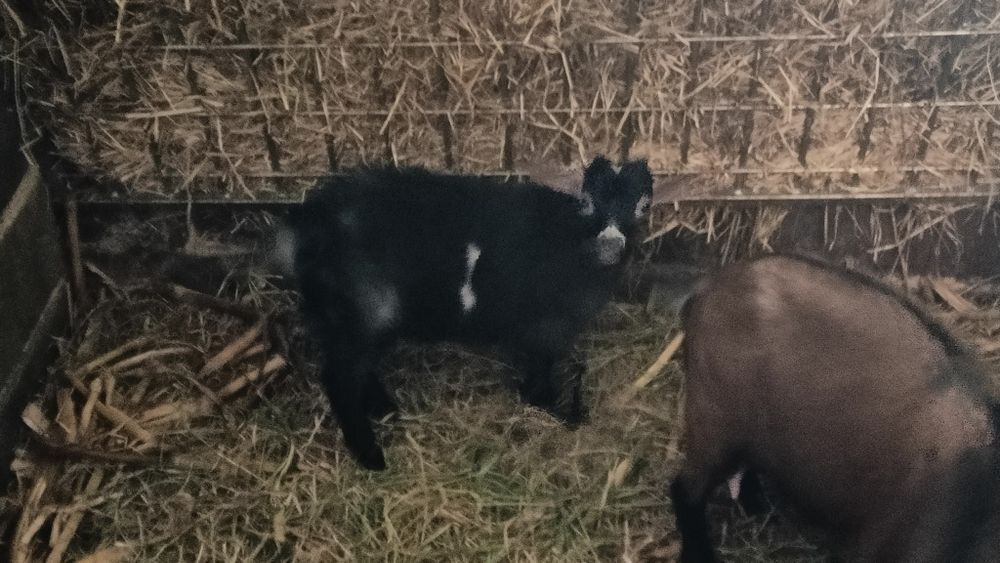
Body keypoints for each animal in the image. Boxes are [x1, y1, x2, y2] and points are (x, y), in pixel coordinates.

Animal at [284, 156, 653, 470]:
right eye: (586, 202)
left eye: (641, 206)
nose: (610, 246)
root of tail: (313, 222)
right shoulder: (544, 329)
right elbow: (540, 373)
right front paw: (552, 409)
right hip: (361, 314)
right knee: (340, 379)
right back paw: (371, 455)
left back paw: (386, 409)